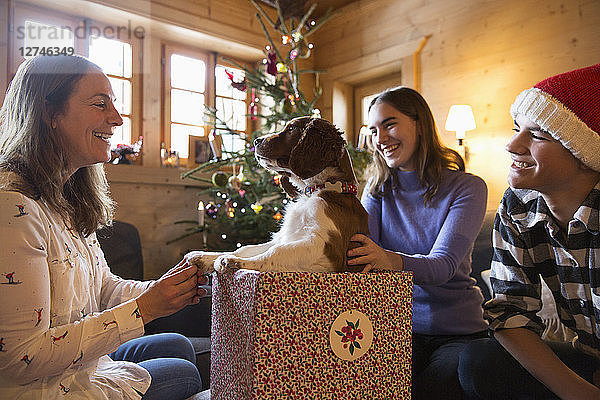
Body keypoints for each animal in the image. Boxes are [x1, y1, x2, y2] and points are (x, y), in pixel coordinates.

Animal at [188, 115, 368, 272]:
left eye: (291, 129)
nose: (256, 141)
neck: (317, 190)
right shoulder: (286, 236)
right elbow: (247, 248)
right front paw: (205, 257)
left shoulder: (328, 247)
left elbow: (277, 251)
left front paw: (234, 262)